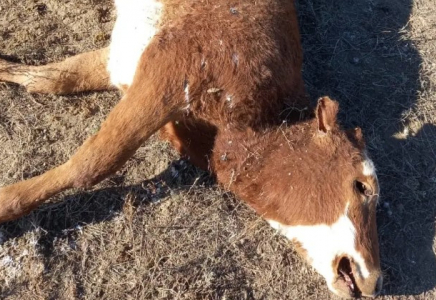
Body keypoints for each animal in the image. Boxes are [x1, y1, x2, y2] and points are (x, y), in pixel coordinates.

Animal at [0, 0, 382, 296]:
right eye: (361, 186)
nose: (375, 280)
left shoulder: (126, 62)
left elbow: (54, 78)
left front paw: (8, 68)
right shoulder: (171, 66)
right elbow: (95, 162)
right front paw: (6, 204)